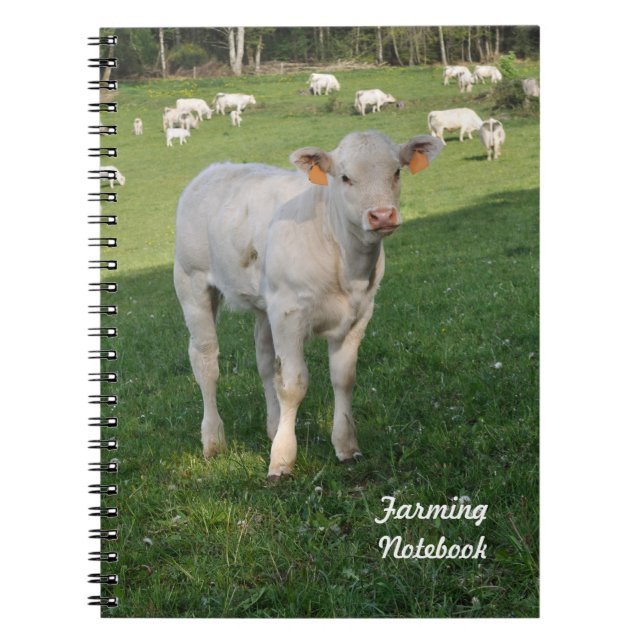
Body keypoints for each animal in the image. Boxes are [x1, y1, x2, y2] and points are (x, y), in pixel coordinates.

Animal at [173, 130, 444, 480]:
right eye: (345, 177)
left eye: (397, 171)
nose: (382, 215)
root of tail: (214, 169)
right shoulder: (290, 314)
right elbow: (293, 384)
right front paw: (282, 461)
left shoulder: (358, 314)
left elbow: (343, 378)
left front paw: (346, 446)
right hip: (191, 282)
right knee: (206, 361)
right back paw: (213, 440)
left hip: (266, 304)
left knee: (265, 362)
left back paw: (273, 427)